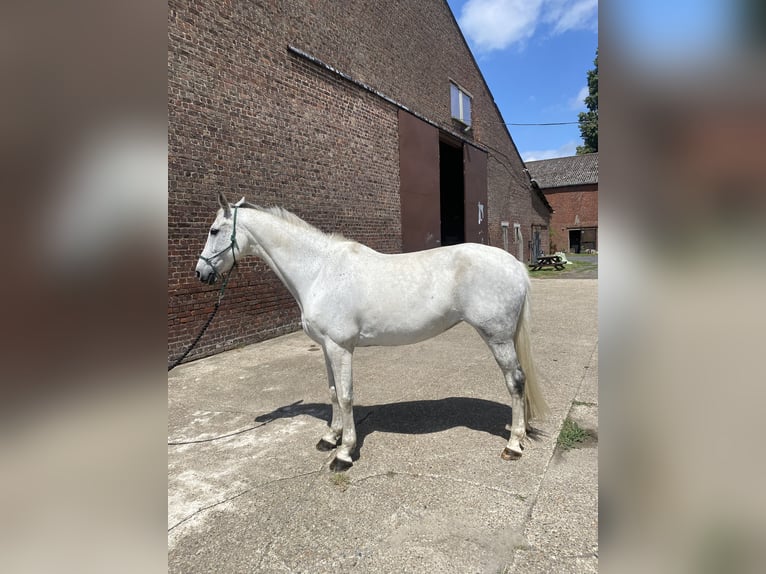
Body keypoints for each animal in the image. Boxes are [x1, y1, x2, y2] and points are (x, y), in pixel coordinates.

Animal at [195, 191, 548, 471]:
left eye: (214, 230)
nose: (201, 273)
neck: (319, 271)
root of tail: (515, 266)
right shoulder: (326, 347)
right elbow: (333, 392)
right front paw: (329, 437)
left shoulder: (340, 347)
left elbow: (347, 396)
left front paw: (344, 453)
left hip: (498, 338)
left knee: (516, 382)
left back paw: (513, 445)